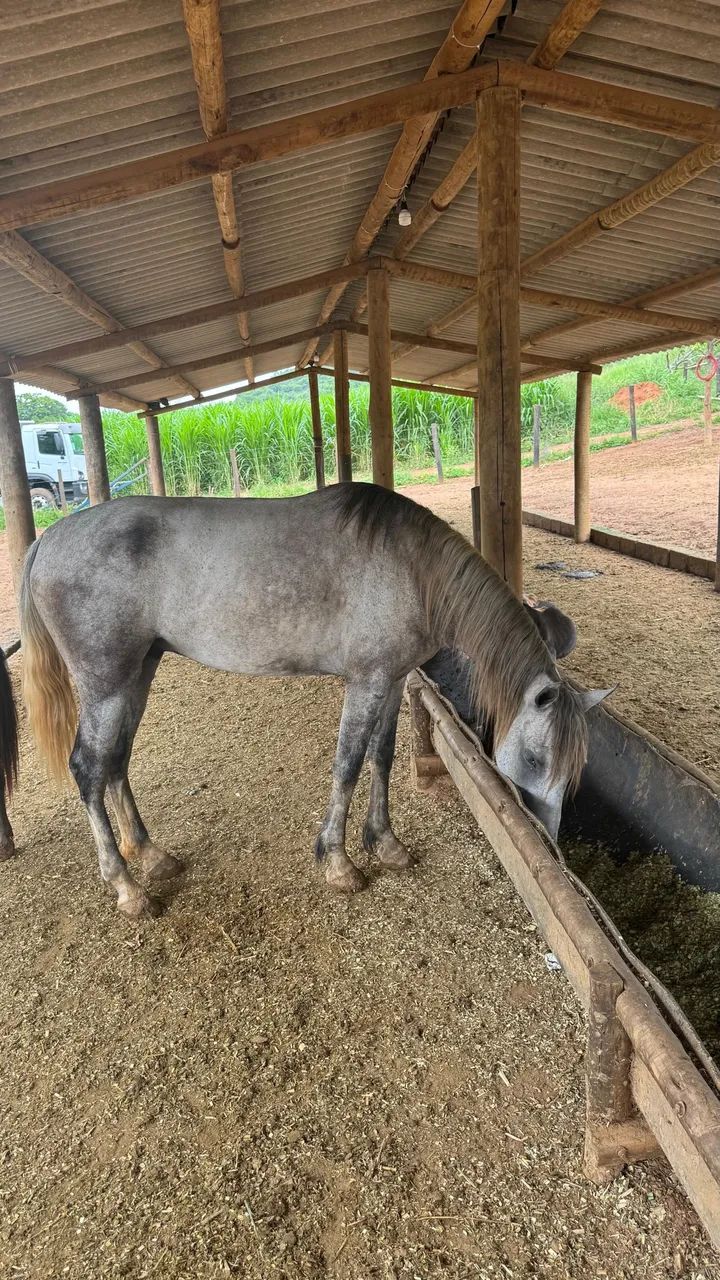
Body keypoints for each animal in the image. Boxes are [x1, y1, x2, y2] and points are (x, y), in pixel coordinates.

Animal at [1, 483, 610, 920]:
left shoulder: (391, 680)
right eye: (534, 758)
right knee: (88, 767)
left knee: (116, 762)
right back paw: (127, 889)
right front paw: (338, 863)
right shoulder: (366, 682)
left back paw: (152, 855)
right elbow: (347, 764)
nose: (551, 845)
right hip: (105, 684)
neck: (412, 568)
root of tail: (48, 539)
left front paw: (385, 844)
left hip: (137, 673)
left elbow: (381, 757)